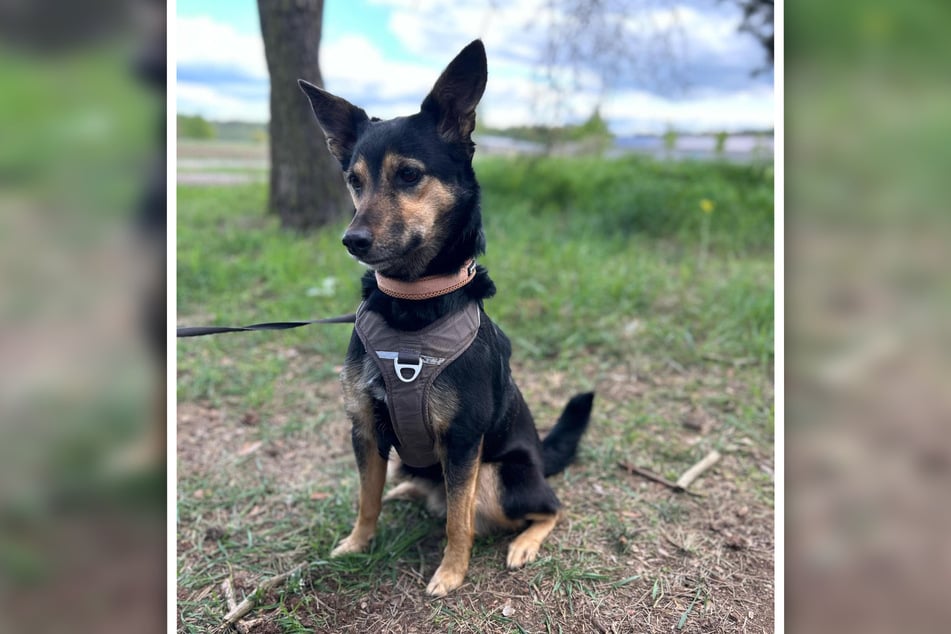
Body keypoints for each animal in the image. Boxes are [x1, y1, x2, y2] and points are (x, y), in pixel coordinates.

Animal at [300, 40, 596, 596]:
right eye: (354, 180)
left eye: (409, 174)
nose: (352, 241)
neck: (412, 304)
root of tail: (540, 460)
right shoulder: (364, 428)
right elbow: (365, 497)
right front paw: (357, 543)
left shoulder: (462, 442)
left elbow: (459, 519)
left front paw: (451, 572)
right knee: (411, 485)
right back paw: (406, 493)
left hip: (501, 476)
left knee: (548, 507)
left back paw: (524, 542)